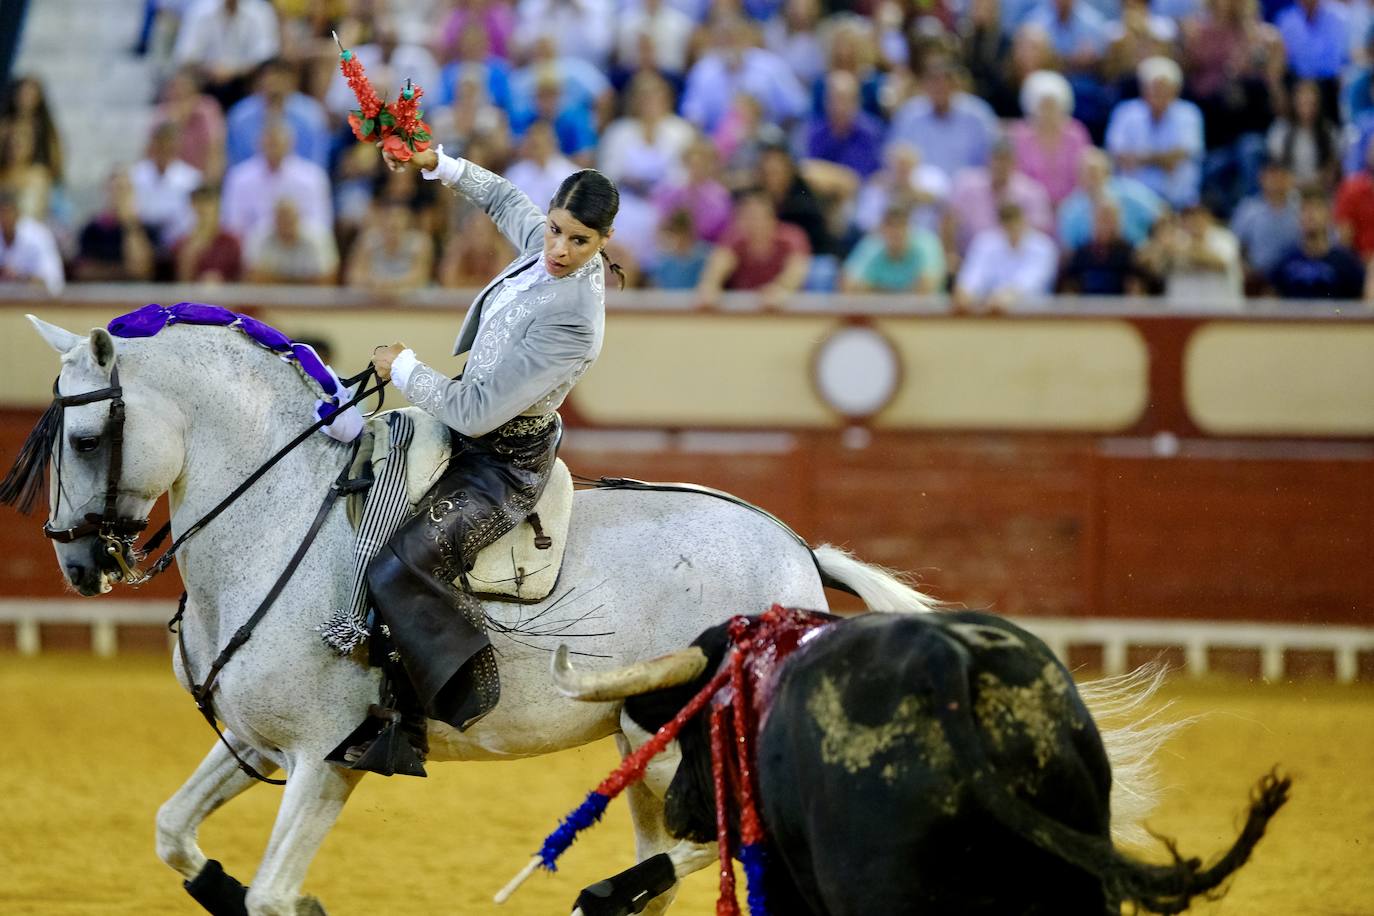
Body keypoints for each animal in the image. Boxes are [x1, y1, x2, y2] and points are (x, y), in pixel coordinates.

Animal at [21, 317, 1170, 916]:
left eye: (85, 438)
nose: (76, 559)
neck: (279, 518)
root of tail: (798, 556)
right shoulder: (257, 743)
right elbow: (173, 832)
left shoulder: (329, 756)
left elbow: (265, 894)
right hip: (647, 750)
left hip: (681, 744)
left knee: (717, 846)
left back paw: (603, 893)